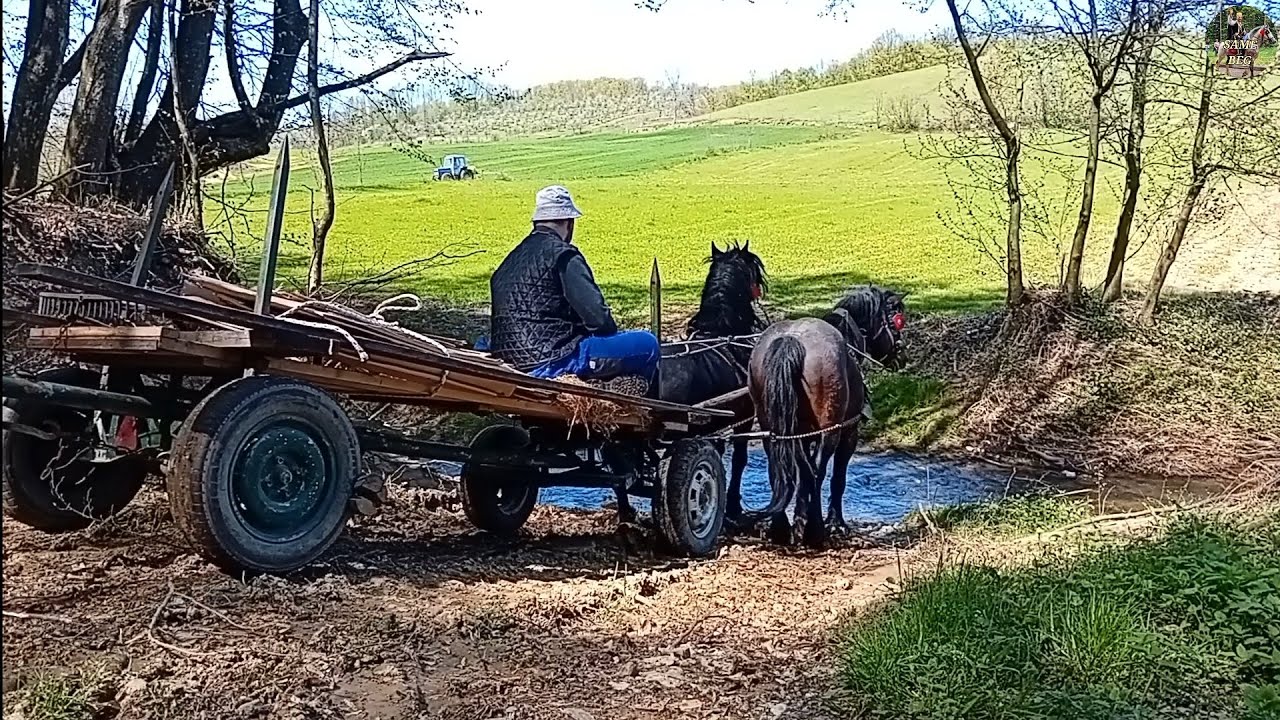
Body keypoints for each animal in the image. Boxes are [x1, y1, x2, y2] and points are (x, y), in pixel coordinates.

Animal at [611, 240, 767, 524]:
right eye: (755, 271)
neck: (720, 335)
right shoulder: (744, 418)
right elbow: (739, 460)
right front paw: (733, 506)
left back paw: (626, 512)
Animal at [739, 286, 907, 547]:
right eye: (897, 319)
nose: (902, 356)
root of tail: (791, 340)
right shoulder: (849, 431)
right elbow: (837, 478)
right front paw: (835, 522)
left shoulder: (804, 435)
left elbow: (801, 475)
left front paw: (799, 517)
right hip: (829, 429)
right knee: (817, 470)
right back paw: (815, 530)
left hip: (776, 427)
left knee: (780, 468)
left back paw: (781, 528)